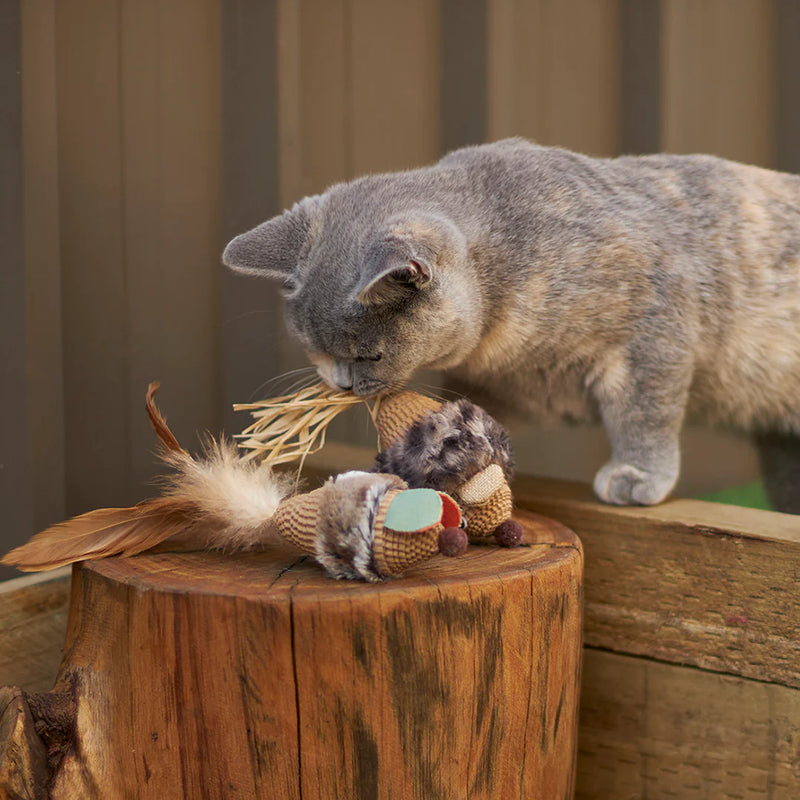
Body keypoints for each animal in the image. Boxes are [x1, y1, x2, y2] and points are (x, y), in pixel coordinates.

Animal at [222, 136, 800, 512]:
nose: (340, 384)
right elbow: (469, 415)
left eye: (370, 355)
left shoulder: (653, 333)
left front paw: (636, 475)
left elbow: (643, 413)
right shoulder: (501, 382)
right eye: (310, 346)